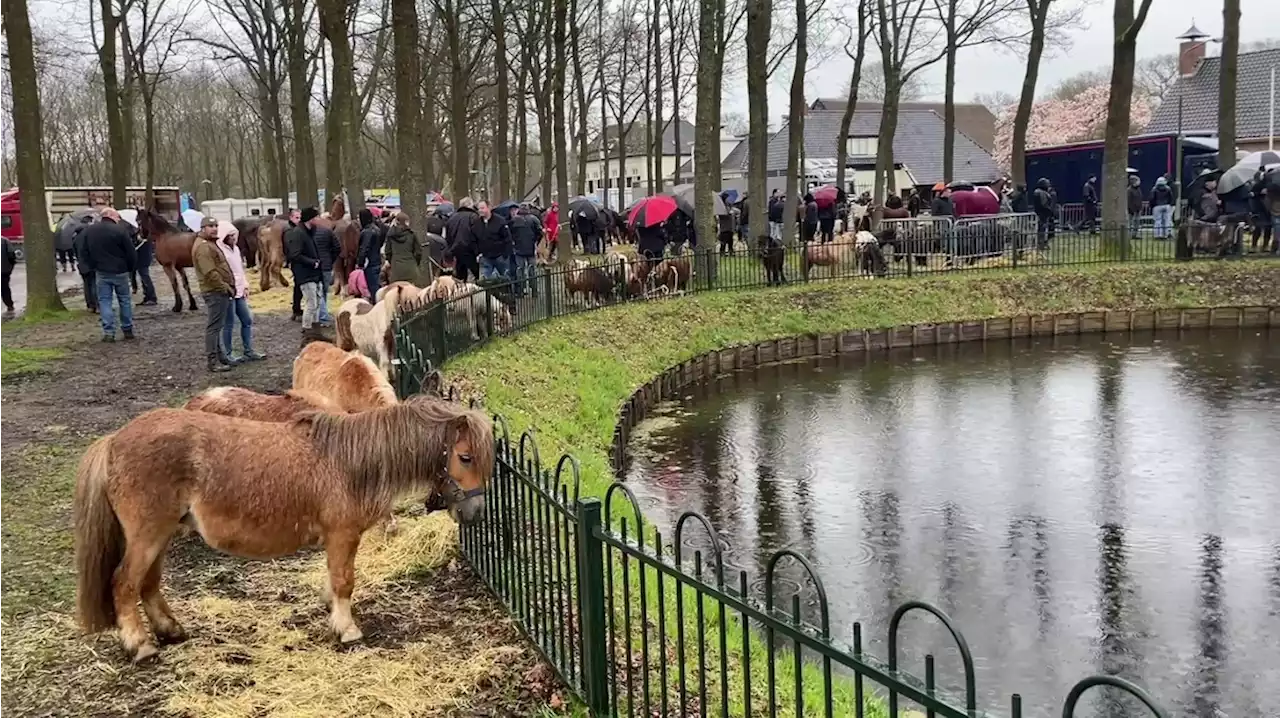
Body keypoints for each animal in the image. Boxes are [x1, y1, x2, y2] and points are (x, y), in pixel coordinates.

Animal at [72, 396, 494, 660]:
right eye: (465, 457)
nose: (475, 510)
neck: (350, 462)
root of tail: (113, 441)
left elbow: (334, 578)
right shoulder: (343, 534)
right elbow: (344, 580)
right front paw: (346, 629)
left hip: (159, 536)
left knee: (148, 584)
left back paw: (169, 629)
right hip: (147, 536)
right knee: (124, 584)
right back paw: (140, 644)